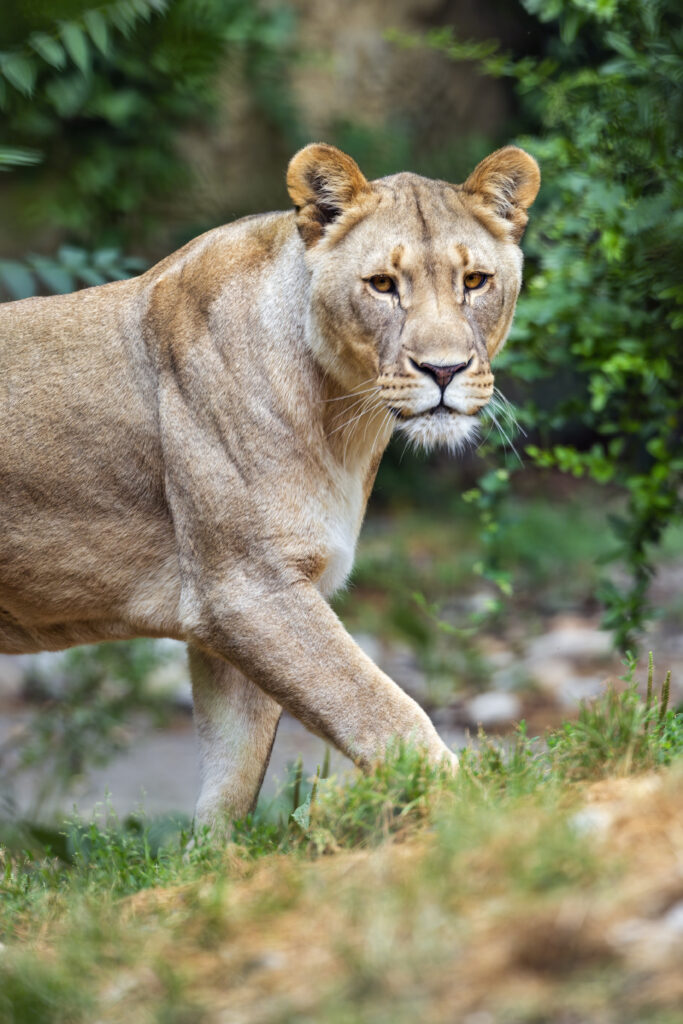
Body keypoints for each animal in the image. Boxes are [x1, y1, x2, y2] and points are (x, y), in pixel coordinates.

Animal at [0, 143, 539, 831]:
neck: (344, 421)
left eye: (474, 282)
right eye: (382, 285)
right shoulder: (248, 589)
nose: (443, 370)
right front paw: (476, 814)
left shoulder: (225, 619)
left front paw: (210, 861)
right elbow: (380, 711)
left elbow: (232, 778)